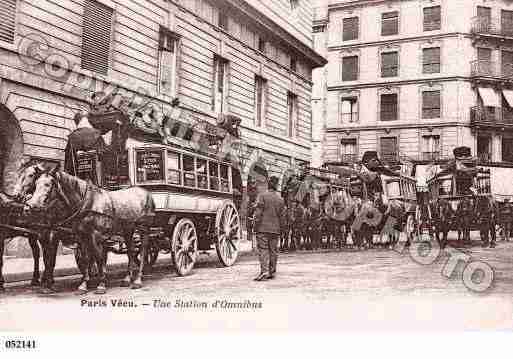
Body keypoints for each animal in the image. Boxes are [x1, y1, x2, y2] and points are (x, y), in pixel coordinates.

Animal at [24, 167, 155, 294]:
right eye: (36, 184)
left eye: (48, 184)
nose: (30, 206)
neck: (86, 203)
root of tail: (145, 192)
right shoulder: (82, 236)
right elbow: (86, 258)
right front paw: (83, 285)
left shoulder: (96, 235)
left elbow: (99, 258)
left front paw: (101, 284)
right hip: (128, 229)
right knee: (131, 251)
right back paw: (127, 278)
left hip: (144, 228)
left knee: (143, 250)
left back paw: (138, 279)